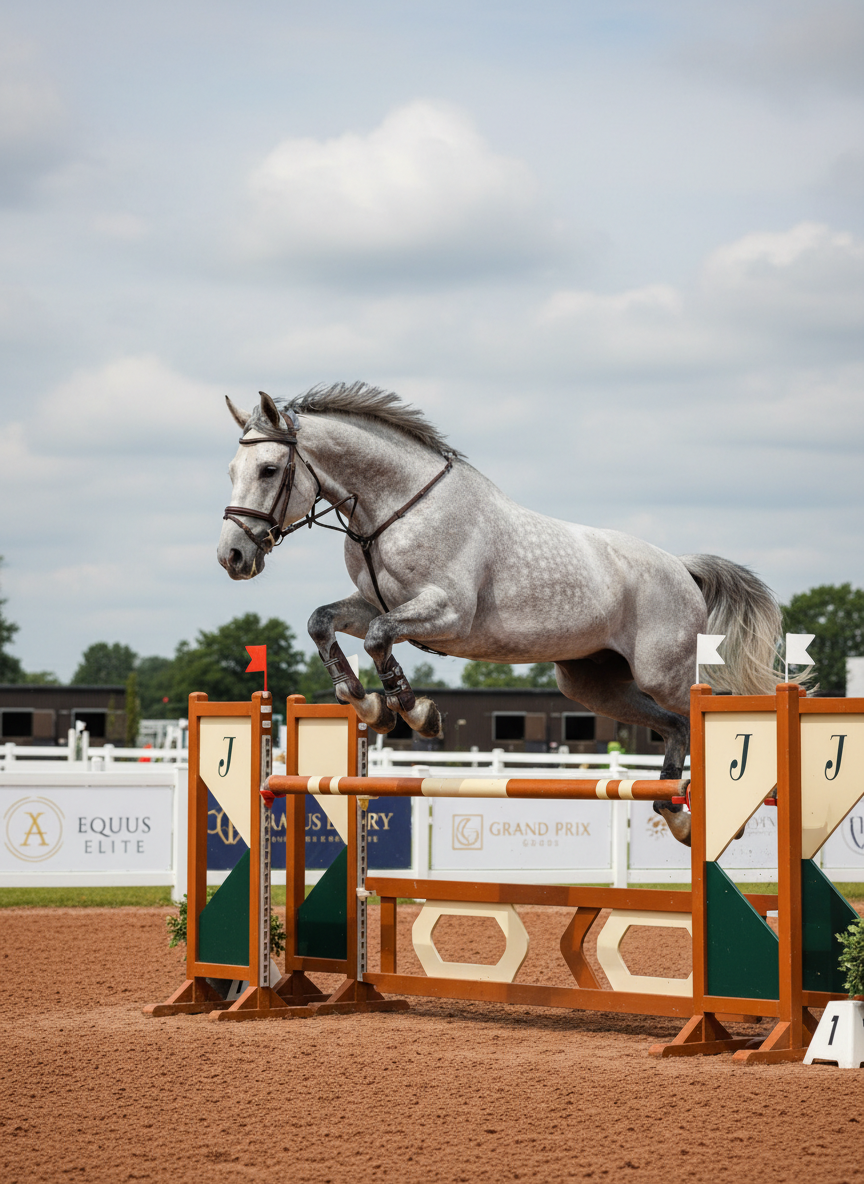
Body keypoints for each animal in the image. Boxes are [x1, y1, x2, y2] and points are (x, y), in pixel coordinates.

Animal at [217, 385, 782, 845]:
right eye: (232, 472)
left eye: (269, 470)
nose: (232, 558)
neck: (394, 511)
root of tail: (681, 567)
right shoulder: (374, 603)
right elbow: (323, 621)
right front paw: (365, 702)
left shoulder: (446, 615)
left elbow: (378, 639)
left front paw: (415, 712)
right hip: (592, 684)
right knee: (677, 728)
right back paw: (676, 812)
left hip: (664, 673)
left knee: (705, 716)